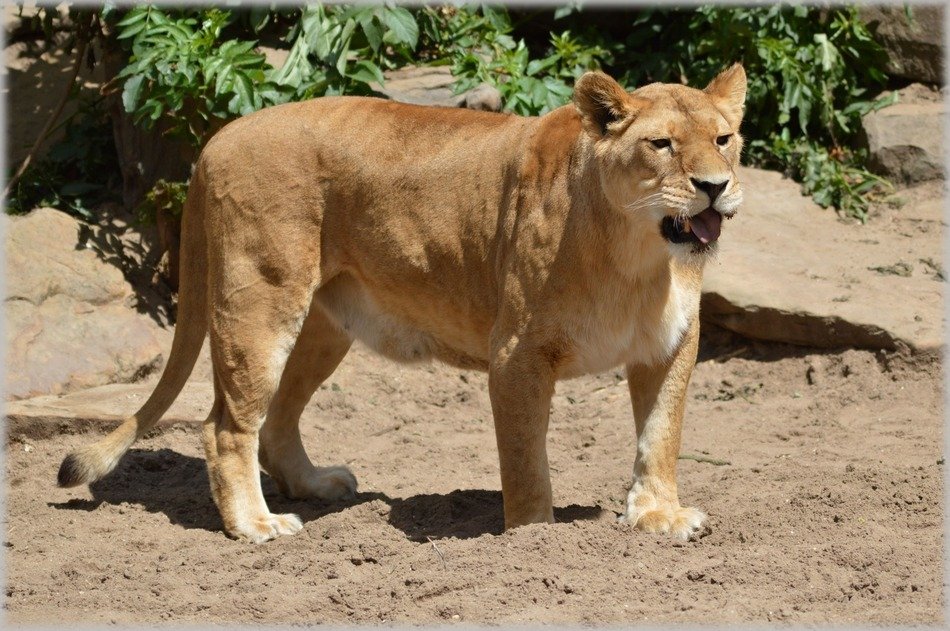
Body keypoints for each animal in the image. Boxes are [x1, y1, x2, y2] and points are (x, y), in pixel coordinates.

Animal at [58, 65, 747, 543]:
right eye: (661, 144)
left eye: (725, 138)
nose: (715, 187)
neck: (638, 255)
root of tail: (219, 137)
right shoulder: (516, 354)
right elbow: (526, 459)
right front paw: (533, 538)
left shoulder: (670, 347)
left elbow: (660, 436)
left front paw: (659, 516)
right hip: (261, 303)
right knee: (226, 425)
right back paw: (255, 525)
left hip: (323, 325)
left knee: (277, 419)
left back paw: (315, 486)